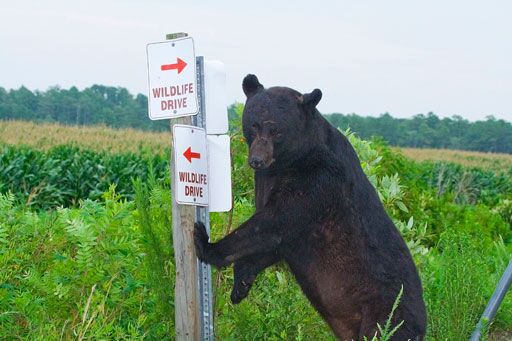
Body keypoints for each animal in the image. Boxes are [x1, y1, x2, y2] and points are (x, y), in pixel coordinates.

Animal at [194, 75, 426, 340]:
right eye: (253, 125)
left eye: (277, 130)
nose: (257, 160)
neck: (290, 160)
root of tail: (423, 324)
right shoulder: (269, 183)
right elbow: (276, 243)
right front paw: (240, 284)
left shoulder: (317, 179)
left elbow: (273, 223)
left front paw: (206, 243)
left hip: (384, 315)